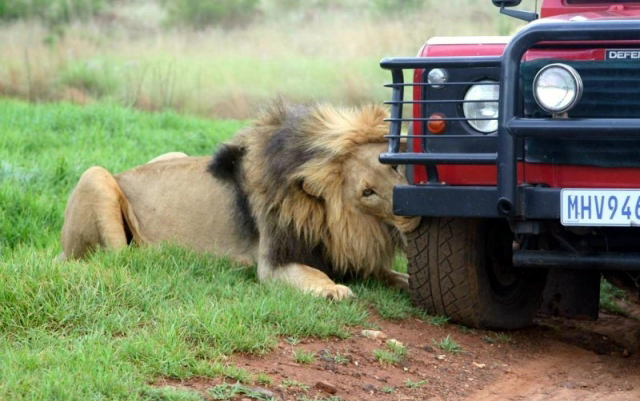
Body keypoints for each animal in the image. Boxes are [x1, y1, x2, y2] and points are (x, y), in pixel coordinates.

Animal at [60, 101, 420, 298]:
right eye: (366, 192)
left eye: (394, 166)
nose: (411, 211)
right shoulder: (272, 264)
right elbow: (311, 274)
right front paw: (333, 289)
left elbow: (393, 276)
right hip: (95, 176)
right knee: (118, 258)